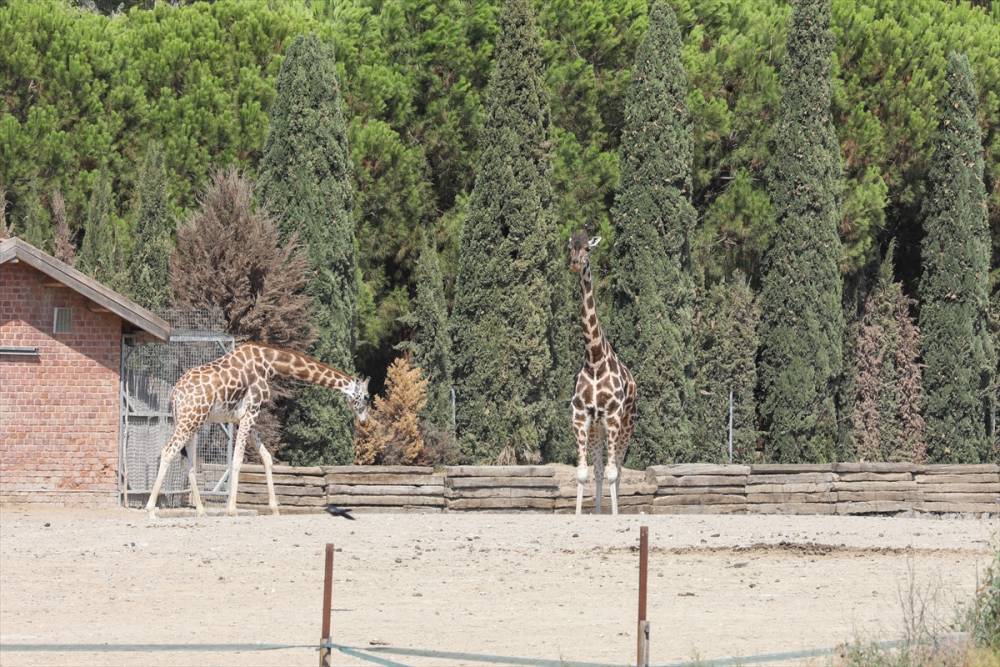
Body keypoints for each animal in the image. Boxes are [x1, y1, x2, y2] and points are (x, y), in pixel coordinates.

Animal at [146, 342, 370, 520]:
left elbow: (266, 457)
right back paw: (151, 510)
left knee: (188, 462)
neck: (270, 364)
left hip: (192, 422)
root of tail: (174, 394)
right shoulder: (251, 413)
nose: (365, 421)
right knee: (167, 451)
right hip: (191, 419)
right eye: (366, 397)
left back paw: (201, 511)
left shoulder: (244, 418)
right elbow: (237, 459)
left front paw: (274, 508)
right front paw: (232, 509)